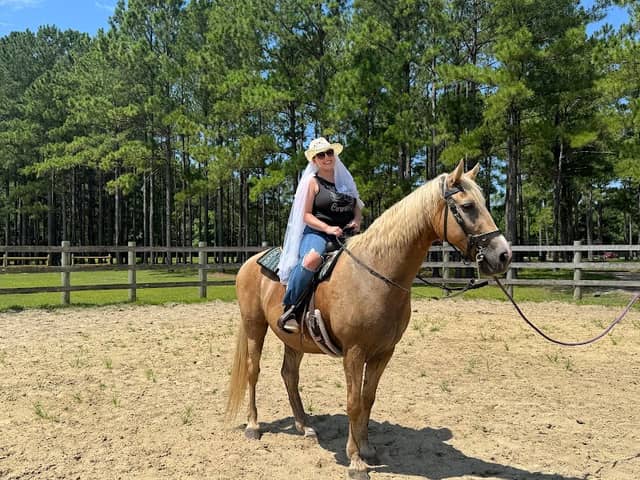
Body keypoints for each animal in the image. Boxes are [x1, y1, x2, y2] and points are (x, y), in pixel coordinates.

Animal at [225, 160, 512, 480]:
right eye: (468, 206)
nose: (503, 255)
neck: (376, 273)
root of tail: (252, 261)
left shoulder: (383, 352)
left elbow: (367, 399)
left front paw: (367, 449)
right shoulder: (354, 352)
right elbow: (353, 402)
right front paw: (355, 461)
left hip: (295, 339)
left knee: (289, 374)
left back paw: (305, 426)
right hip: (255, 326)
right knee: (253, 371)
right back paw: (253, 426)